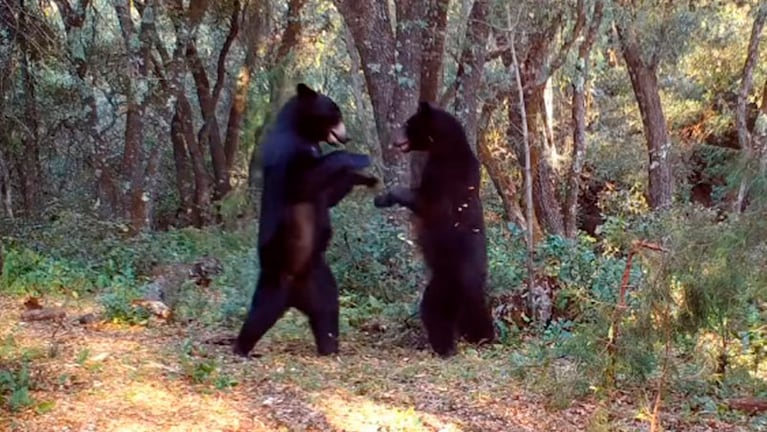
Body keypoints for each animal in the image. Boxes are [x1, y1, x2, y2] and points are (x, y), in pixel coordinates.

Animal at [234, 82, 378, 356]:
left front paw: (365, 177)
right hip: (276, 274)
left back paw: (329, 346)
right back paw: (242, 348)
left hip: (320, 278)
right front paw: (359, 158)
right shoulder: (285, 152)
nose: (347, 137)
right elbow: (302, 181)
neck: (303, 133)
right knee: (260, 313)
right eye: (336, 114)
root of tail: (295, 295)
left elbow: (327, 195)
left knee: (328, 309)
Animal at [376, 102, 496, 358]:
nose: (394, 140)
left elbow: (426, 202)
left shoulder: (444, 175)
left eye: (408, 123)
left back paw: (445, 346)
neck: (445, 146)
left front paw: (383, 197)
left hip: (445, 284)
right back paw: (483, 336)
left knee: (434, 312)